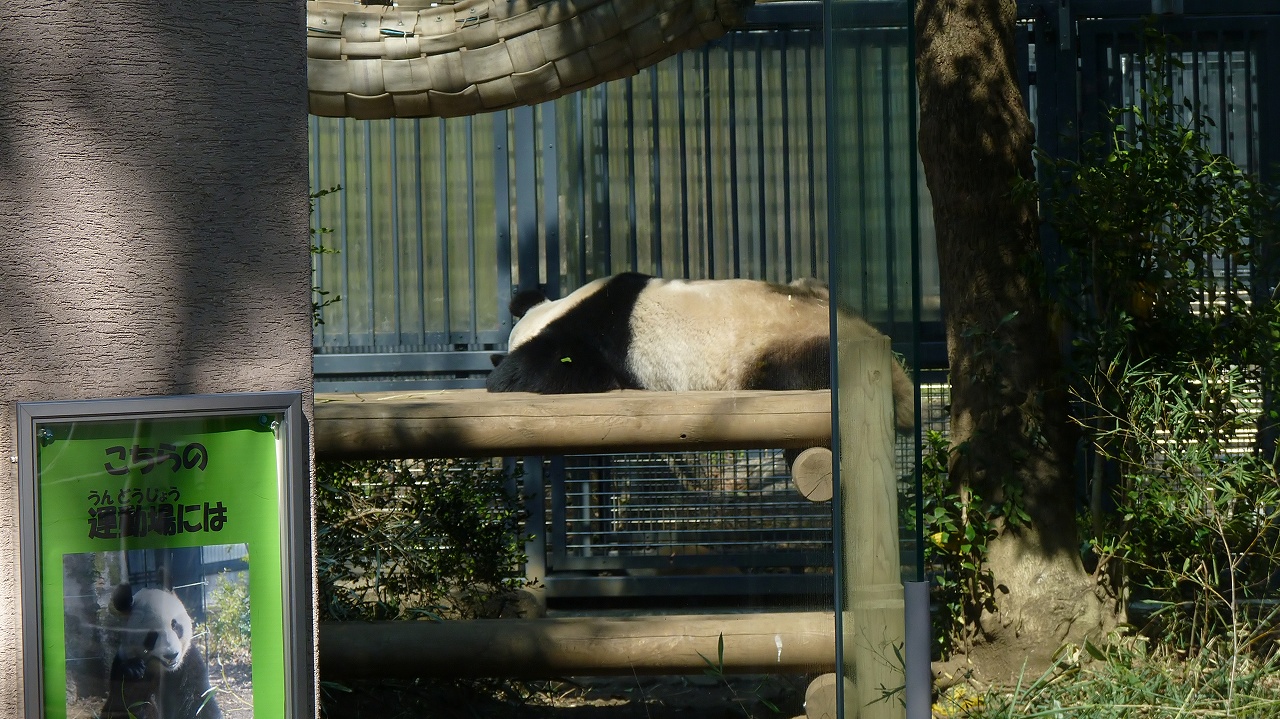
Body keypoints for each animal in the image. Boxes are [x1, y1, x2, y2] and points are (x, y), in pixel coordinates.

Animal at [101, 583, 224, 716]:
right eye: (152, 635)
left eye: (174, 625)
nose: (171, 655)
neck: (162, 670)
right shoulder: (121, 666)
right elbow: (124, 704)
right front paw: (134, 669)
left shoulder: (188, 664)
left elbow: (199, 702)